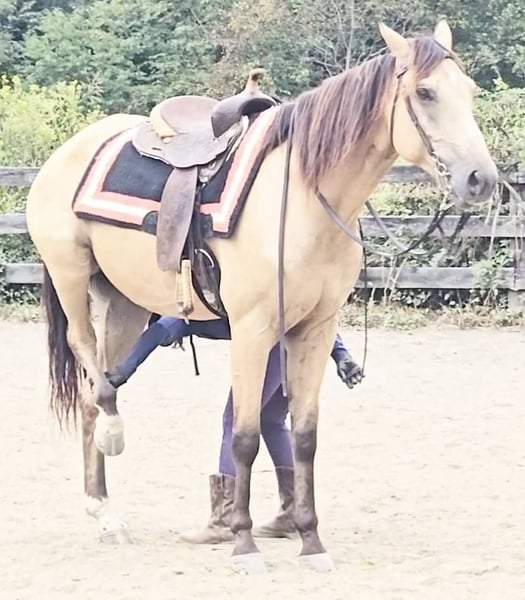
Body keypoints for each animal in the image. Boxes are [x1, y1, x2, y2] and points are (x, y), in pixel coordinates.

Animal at [26, 20, 497, 574]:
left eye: (469, 91)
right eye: (425, 93)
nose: (480, 179)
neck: (304, 198)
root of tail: (69, 151)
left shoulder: (315, 330)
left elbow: (304, 438)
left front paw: (311, 541)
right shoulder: (252, 331)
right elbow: (246, 437)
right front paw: (244, 544)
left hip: (127, 303)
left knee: (92, 394)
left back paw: (107, 510)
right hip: (71, 276)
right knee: (92, 369)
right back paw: (111, 461)